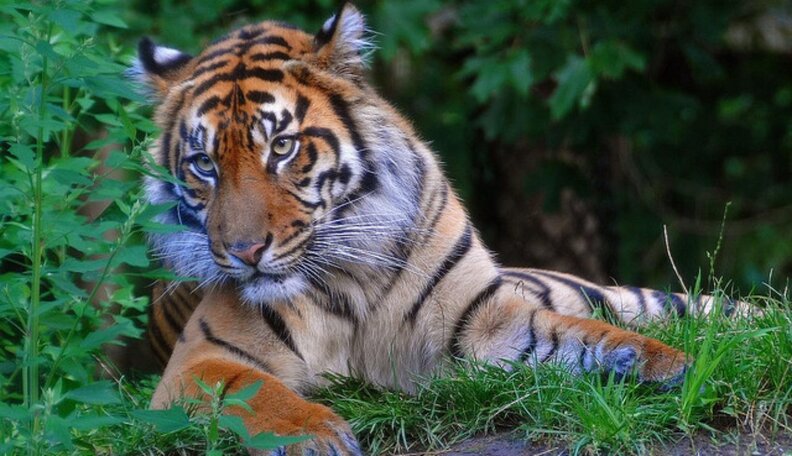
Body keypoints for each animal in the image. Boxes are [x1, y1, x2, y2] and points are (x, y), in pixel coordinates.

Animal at [131, 3, 749, 455]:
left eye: (281, 147)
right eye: (204, 164)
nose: (243, 252)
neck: (349, 271)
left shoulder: (482, 322)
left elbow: (579, 334)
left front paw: (665, 364)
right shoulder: (198, 361)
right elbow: (251, 389)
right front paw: (318, 436)